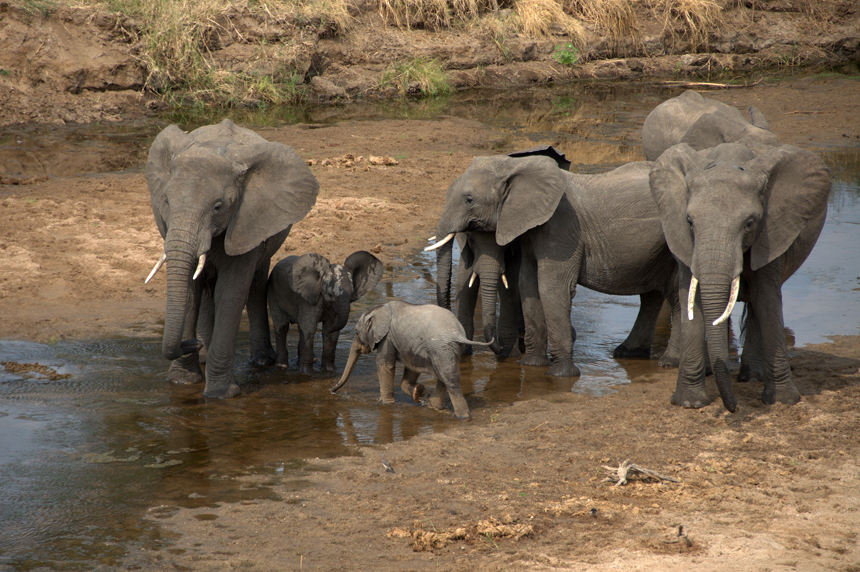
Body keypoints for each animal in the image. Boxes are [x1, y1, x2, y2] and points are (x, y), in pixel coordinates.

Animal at [144, 117, 320, 398]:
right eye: (167, 201)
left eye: (218, 207)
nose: (190, 342)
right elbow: (190, 291)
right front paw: (183, 381)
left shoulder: (247, 218)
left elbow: (231, 292)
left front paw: (221, 395)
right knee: (207, 290)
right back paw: (204, 354)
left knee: (255, 285)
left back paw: (260, 361)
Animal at [330, 300, 490, 420]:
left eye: (357, 333)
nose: (331, 391)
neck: (379, 309)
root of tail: (459, 334)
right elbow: (412, 368)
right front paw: (418, 392)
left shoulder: (387, 337)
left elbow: (384, 364)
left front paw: (386, 404)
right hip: (448, 350)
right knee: (442, 376)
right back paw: (433, 405)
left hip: (441, 348)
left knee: (450, 378)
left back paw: (462, 417)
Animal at [428, 154, 680, 378]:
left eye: (469, 199)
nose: (497, 347)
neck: (514, 165)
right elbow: (528, 284)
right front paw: (531, 365)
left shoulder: (562, 226)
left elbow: (551, 287)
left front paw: (561, 375)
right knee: (652, 295)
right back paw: (629, 352)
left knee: (675, 294)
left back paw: (668, 363)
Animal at [652, 143, 832, 412]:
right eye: (689, 221)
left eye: (749, 223)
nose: (734, 407)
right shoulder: (682, 238)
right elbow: (690, 299)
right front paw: (690, 403)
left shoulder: (771, 232)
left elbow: (767, 300)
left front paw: (784, 400)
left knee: (760, 305)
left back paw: (752, 377)